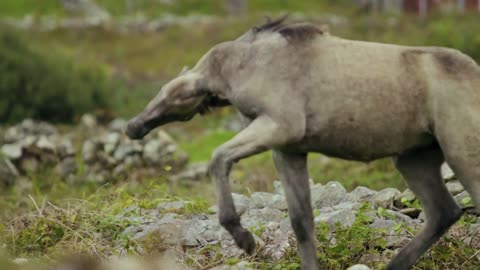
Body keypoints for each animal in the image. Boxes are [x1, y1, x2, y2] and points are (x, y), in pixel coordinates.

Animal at [126, 17, 480, 270]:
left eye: (171, 93)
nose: (134, 126)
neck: (242, 66)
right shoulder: (289, 148)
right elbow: (302, 222)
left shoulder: (279, 125)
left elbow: (218, 159)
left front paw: (243, 237)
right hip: (414, 158)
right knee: (444, 211)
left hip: (461, 151)